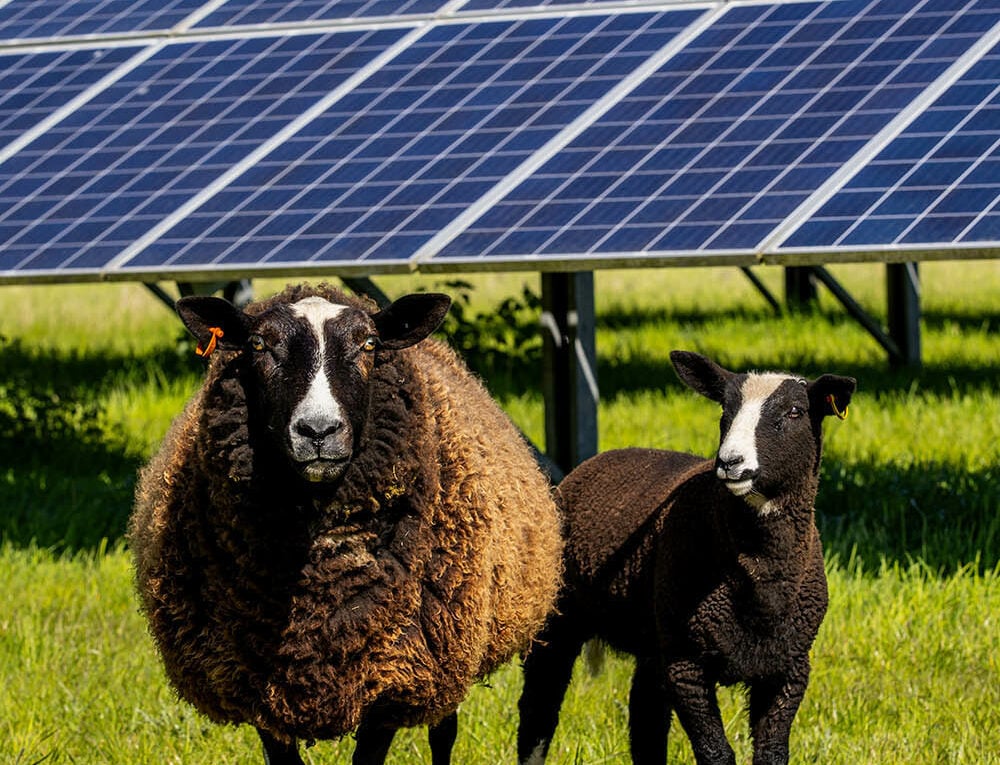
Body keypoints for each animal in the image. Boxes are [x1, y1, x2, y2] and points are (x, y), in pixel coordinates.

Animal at [128, 282, 563, 765]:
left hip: (451, 651)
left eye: (368, 344)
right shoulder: (256, 689)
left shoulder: (394, 679)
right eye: (259, 345)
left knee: (443, 731)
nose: (318, 431)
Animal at [517, 350, 855, 765]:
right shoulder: (686, 664)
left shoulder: (788, 668)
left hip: (654, 638)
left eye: (795, 411)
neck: (761, 580)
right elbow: (716, 753)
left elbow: (772, 754)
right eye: (724, 410)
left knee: (645, 722)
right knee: (539, 710)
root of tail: (594, 461)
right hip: (563, 618)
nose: (730, 462)